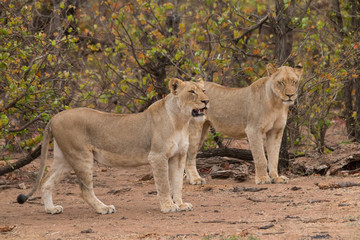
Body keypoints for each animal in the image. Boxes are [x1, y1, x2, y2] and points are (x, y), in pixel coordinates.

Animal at [16, 78, 208, 214]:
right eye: (192, 92)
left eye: (204, 90)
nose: (206, 101)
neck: (181, 121)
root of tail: (54, 117)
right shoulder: (157, 156)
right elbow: (164, 184)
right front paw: (168, 206)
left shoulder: (179, 156)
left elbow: (177, 183)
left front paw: (181, 204)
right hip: (81, 156)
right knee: (84, 190)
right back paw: (104, 208)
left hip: (64, 159)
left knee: (46, 182)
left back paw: (51, 209)